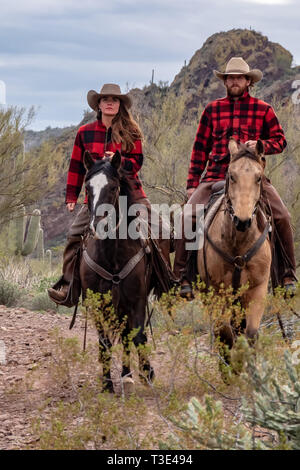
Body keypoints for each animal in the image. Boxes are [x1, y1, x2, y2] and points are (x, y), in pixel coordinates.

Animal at [79, 151, 171, 392]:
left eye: (113, 187)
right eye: (87, 188)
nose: (97, 226)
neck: (112, 256)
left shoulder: (136, 299)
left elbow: (137, 335)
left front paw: (146, 373)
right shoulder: (98, 304)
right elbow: (104, 341)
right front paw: (107, 384)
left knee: (128, 335)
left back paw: (128, 375)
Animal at [198, 140, 270, 360]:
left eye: (258, 177)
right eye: (231, 175)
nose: (242, 220)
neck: (239, 245)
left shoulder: (258, 288)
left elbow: (251, 334)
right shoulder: (217, 293)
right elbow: (225, 335)